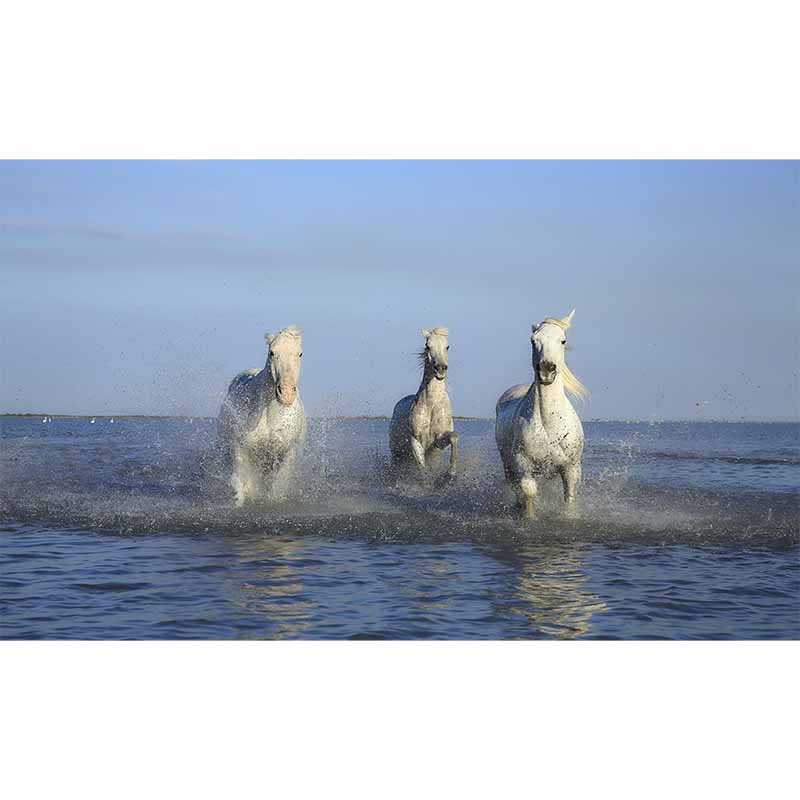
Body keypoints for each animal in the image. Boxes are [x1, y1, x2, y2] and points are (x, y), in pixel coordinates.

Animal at [217, 325, 306, 505]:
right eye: (272, 352)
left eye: (300, 353)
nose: (286, 394)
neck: (269, 414)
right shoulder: (241, 449)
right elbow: (244, 486)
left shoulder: (287, 453)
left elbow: (277, 486)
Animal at [389, 327, 459, 481]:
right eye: (427, 346)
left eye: (447, 346)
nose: (440, 368)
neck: (432, 405)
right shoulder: (415, 440)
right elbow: (422, 469)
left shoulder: (438, 442)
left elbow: (454, 437)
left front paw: (450, 475)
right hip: (396, 454)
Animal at [495, 310, 588, 519]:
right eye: (533, 340)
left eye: (562, 340)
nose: (546, 369)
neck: (550, 423)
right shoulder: (523, 465)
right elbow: (528, 491)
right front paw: (529, 517)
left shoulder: (571, 469)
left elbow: (569, 498)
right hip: (507, 464)